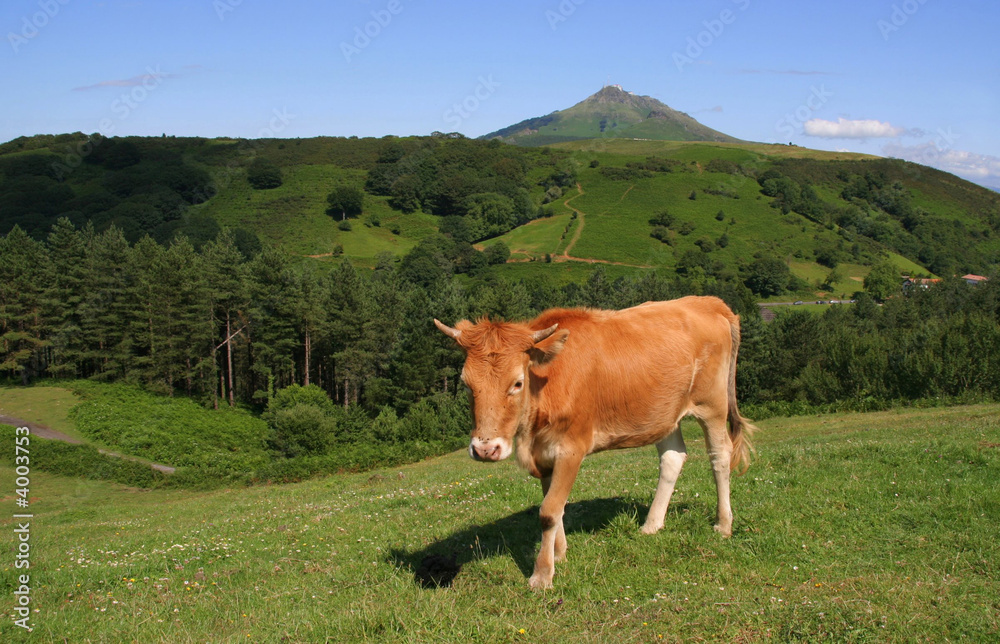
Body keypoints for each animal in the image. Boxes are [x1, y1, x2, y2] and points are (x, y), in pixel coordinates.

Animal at [434, 295, 755, 589]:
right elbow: (555, 506)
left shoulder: (571, 447)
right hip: (666, 413)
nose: (485, 449)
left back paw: (723, 524)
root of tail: (709, 302)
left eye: (517, 383)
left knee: (719, 456)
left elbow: (548, 511)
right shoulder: (545, 453)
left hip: (712, 404)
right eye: (466, 384)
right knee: (673, 457)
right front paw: (559, 554)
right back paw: (651, 525)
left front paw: (542, 575)